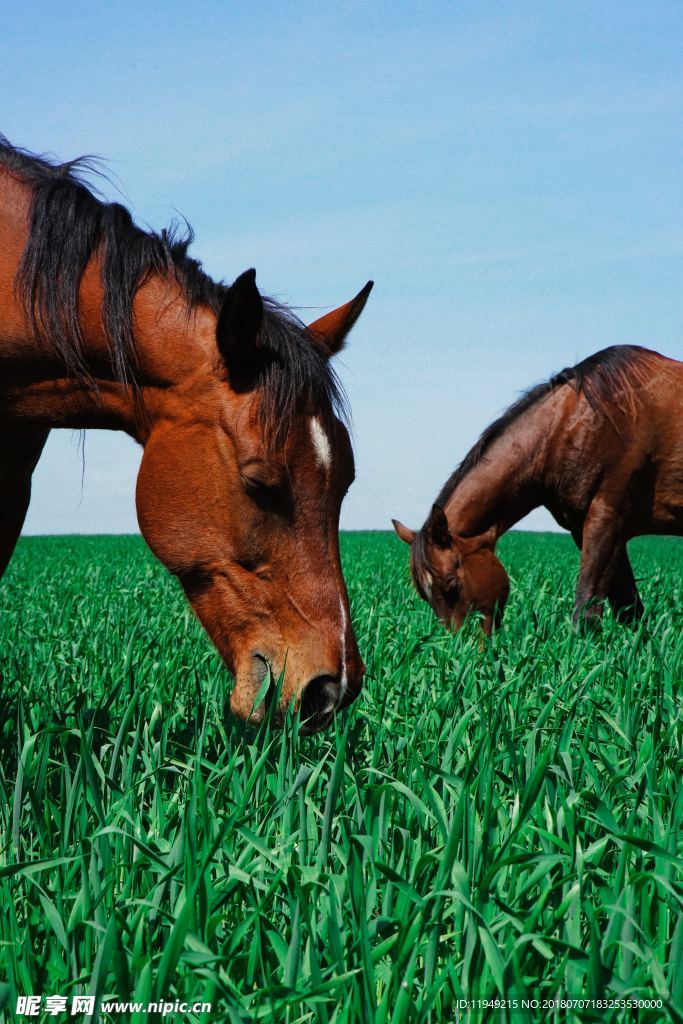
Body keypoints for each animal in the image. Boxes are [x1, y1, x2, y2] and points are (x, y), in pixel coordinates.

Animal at [393, 344, 683, 630]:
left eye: (451, 585)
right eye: (425, 596)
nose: (462, 644)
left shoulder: (606, 521)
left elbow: (587, 611)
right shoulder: (589, 529)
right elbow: (630, 609)